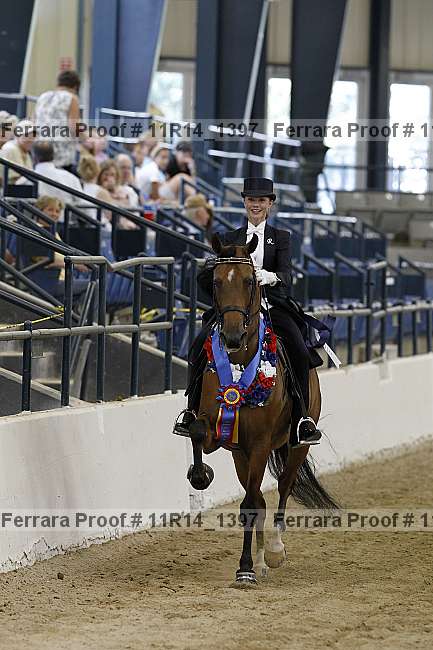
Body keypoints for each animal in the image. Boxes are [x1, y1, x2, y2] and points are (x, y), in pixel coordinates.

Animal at [187, 233, 339, 586]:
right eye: (215, 281)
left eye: (249, 281)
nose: (232, 336)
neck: (241, 362)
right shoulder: (223, 435)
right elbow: (198, 431)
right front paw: (200, 475)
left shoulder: (259, 444)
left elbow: (249, 505)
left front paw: (244, 569)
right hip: (240, 455)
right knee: (257, 498)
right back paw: (260, 560)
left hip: (294, 445)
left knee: (283, 486)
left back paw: (274, 551)